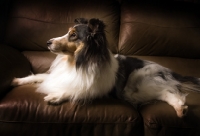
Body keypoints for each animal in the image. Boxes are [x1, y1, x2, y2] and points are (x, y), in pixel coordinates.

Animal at [11, 18, 200, 118]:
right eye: (67, 32)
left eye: (73, 35)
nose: (48, 42)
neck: (77, 62)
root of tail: (170, 72)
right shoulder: (57, 76)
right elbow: (39, 76)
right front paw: (17, 80)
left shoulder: (97, 89)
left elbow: (77, 91)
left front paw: (56, 96)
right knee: (166, 93)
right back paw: (180, 109)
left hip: (138, 83)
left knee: (169, 92)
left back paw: (180, 108)